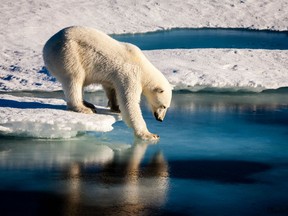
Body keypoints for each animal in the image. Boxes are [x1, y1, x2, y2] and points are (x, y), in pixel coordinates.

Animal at [43, 26, 171, 141]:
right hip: (68, 53)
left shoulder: (115, 77)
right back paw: (83, 108)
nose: (160, 119)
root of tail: (46, 46)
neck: (143, 67)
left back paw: (88, 104)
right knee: (75, 78)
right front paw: (150, 134)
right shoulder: (130, 74)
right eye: (163, 106)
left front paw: (115, 107)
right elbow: (130, 103)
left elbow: (111, 88)